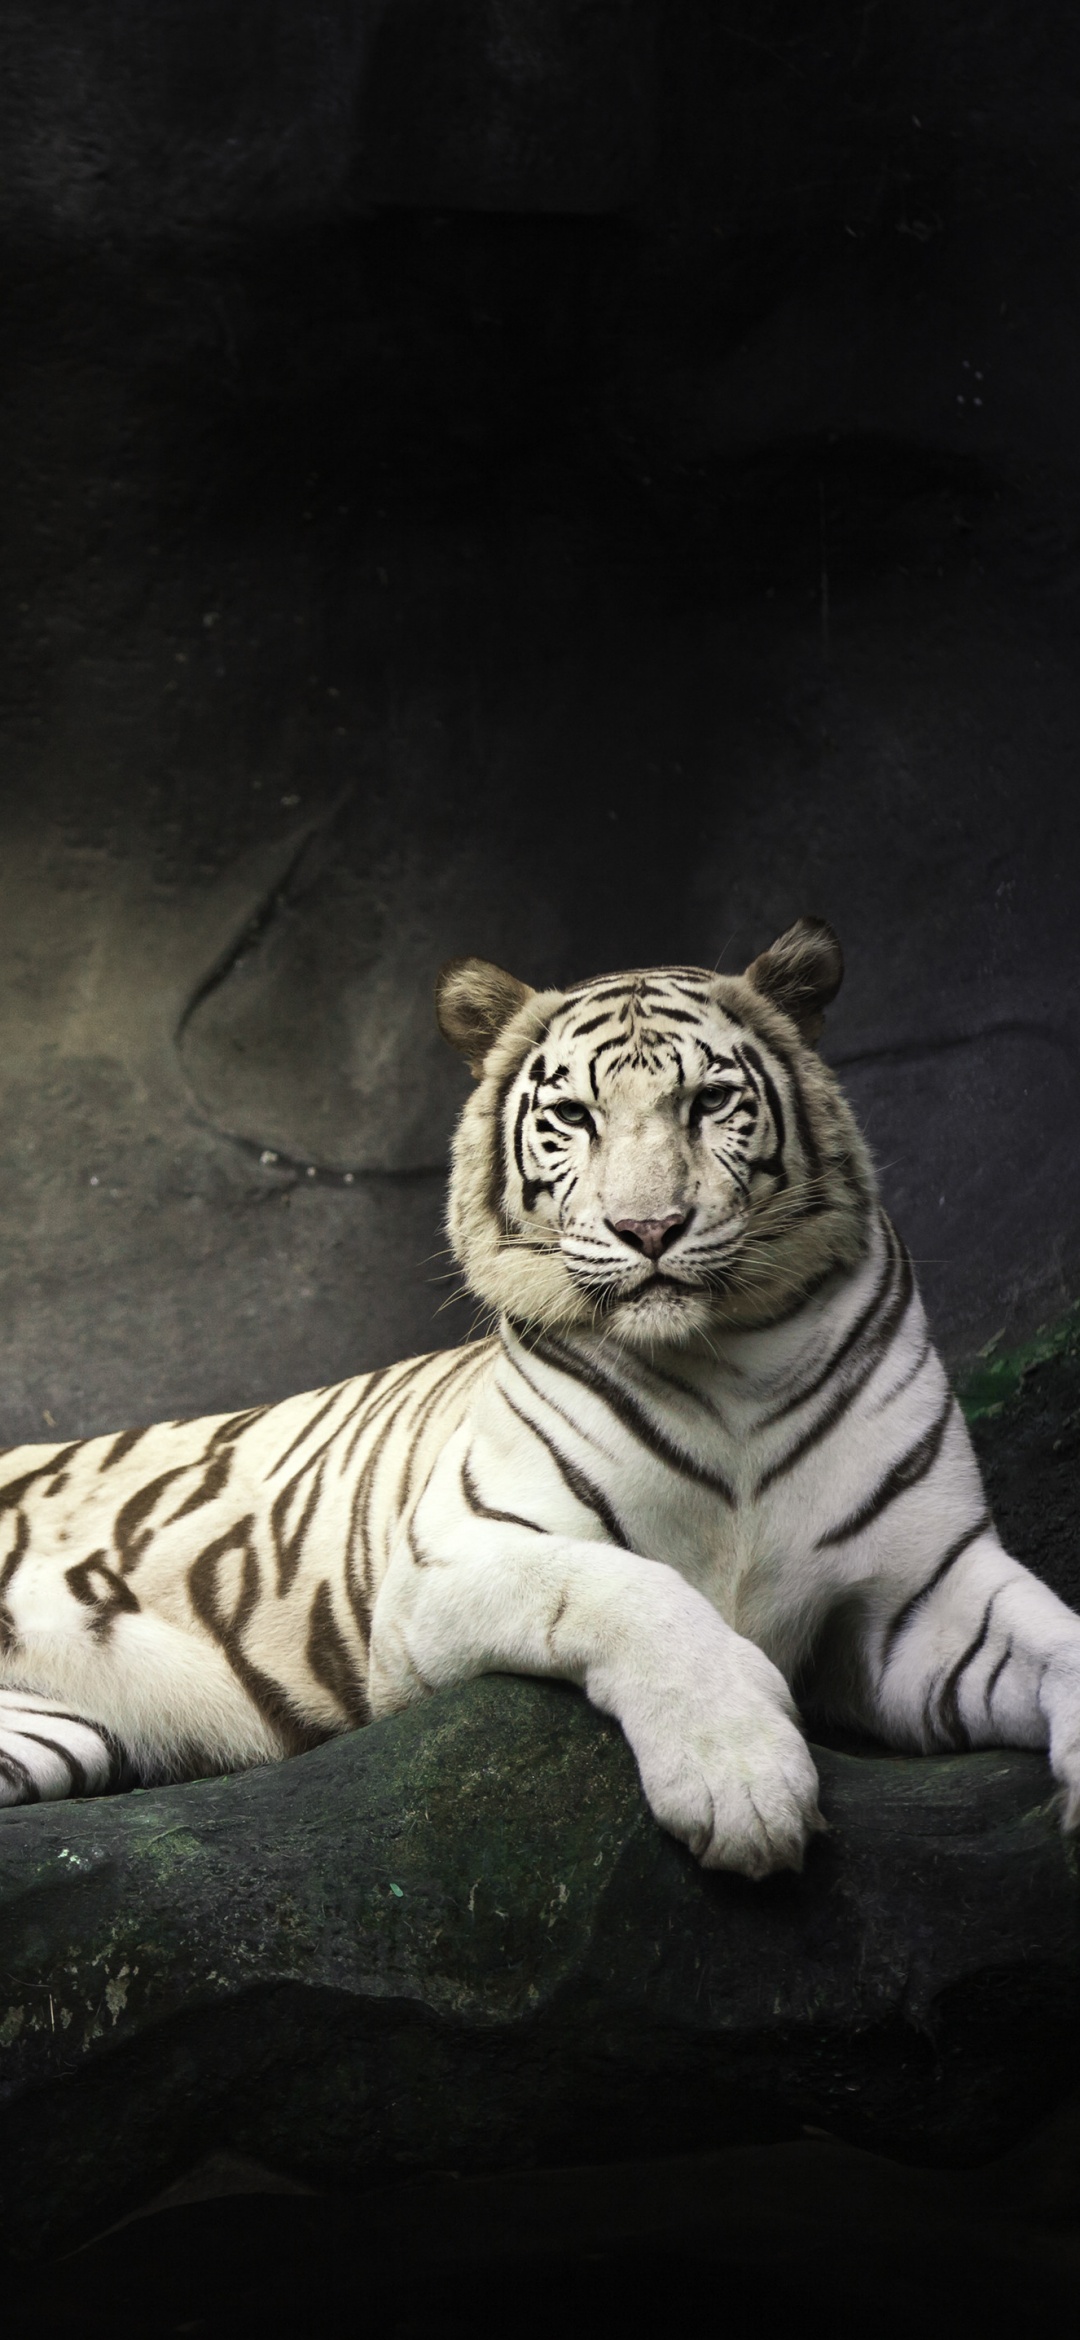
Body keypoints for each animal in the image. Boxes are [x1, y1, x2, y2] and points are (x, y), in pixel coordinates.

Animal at [2, 916, 1079, 1881]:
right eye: (575, 1118)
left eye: (710, 1102)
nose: (650, 1228)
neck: (729, 1361)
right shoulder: (447, 1560)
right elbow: (633, 1590)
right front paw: (742, 1783)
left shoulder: (924, 1593)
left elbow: (1060, 1643)